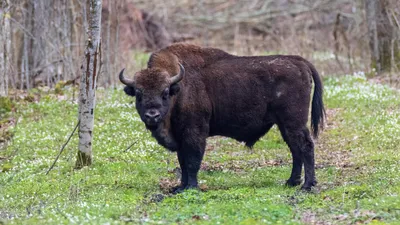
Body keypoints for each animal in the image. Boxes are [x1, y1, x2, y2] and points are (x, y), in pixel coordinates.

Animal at [119, 43, 324, 192]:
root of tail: (299, 61)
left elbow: (192, 161)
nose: (152, 115)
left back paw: (307, 186)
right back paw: (291, 182)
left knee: (305, 146)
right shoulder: (180, 137)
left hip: (293, 122)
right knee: (295, 149)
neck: (179, 88)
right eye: (139, 94)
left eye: (165, 92)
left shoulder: (194, 133)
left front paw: (191, 187)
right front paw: (180, 187)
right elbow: (182, 161)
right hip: (284, 124)